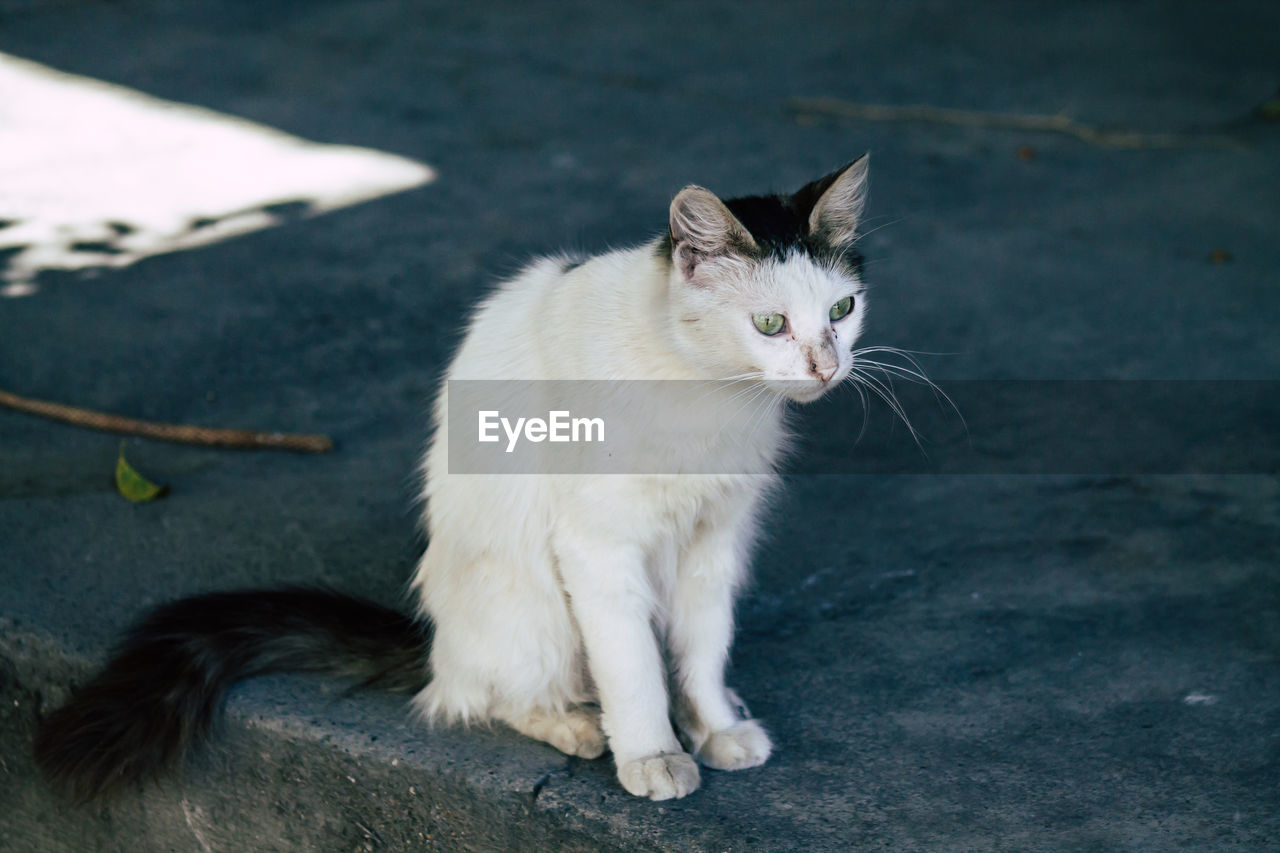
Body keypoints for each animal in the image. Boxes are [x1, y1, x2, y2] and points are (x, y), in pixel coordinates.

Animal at [37, 156, 880, 799]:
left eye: (842, 309)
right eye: (769, 325)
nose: (826, 367)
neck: (710, 395)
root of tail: (435, 638)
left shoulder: (715, 539)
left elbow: (702, 649)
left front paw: (715, 727)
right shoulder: (599, 549)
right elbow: (634, 666)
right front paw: (651, 755)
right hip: (535, 606)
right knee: (483, 693)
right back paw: (578, 724)